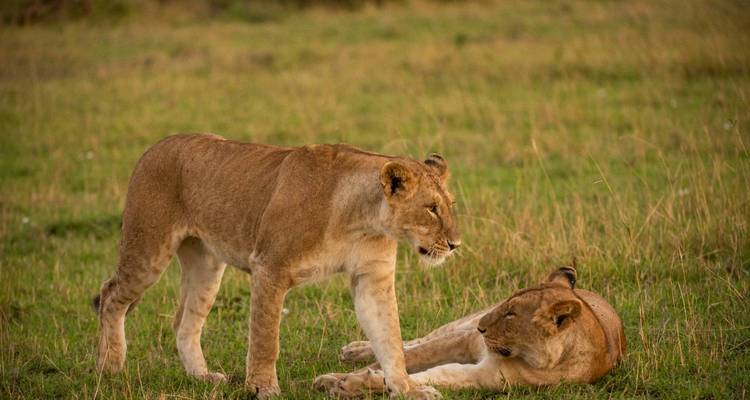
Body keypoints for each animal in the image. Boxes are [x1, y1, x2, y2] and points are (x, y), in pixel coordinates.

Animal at [94, 134, 460, 398]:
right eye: (431, 208)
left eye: (450, 205)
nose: (455, 244)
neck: (362, 220)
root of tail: (154, 146)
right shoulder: (270, 266)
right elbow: (266, 336)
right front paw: (262, 387)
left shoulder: (373, 277)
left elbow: (390, 339)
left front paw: (407, 389)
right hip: (149, 250)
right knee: (110, 296)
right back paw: (109, 364)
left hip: (206, 264)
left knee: (184, 321)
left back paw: (202, 377)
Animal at [314, 265, 625, 398]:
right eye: (505, 304)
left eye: (511, 314)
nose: (481, 328)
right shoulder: (462, 341)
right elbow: (406, 359)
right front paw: (334, 378)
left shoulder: (484, 377)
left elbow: (429, 375)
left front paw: (346, 384)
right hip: (456, 326)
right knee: (410, 342)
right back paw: (353, 350)